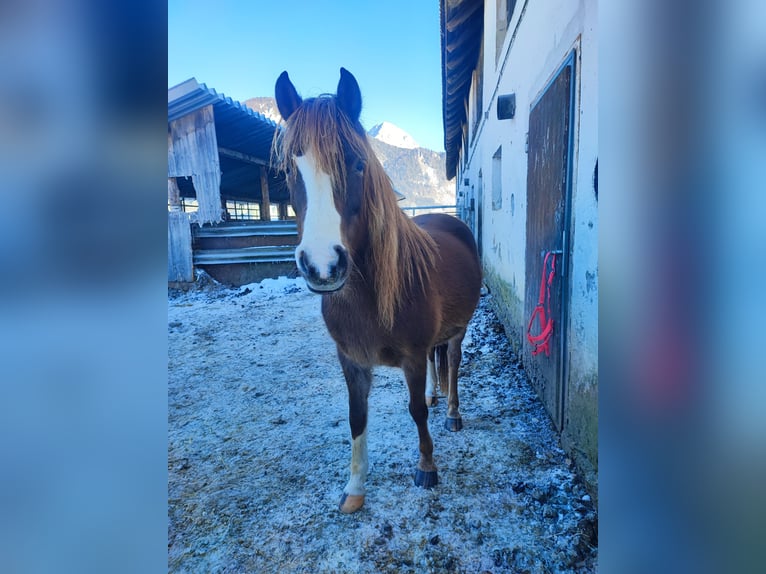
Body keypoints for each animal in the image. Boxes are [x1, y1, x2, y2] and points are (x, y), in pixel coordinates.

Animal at [274, 68, 480, 516]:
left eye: (357, 163)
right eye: (290, 170)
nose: (322, 265)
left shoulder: (412, 358)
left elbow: (415, 410)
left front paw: (426, 467)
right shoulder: (351, 361)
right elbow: (357, 418)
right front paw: (354, 488)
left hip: (459, 330)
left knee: (453, 363)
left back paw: (452, 412)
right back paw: (438, 398)